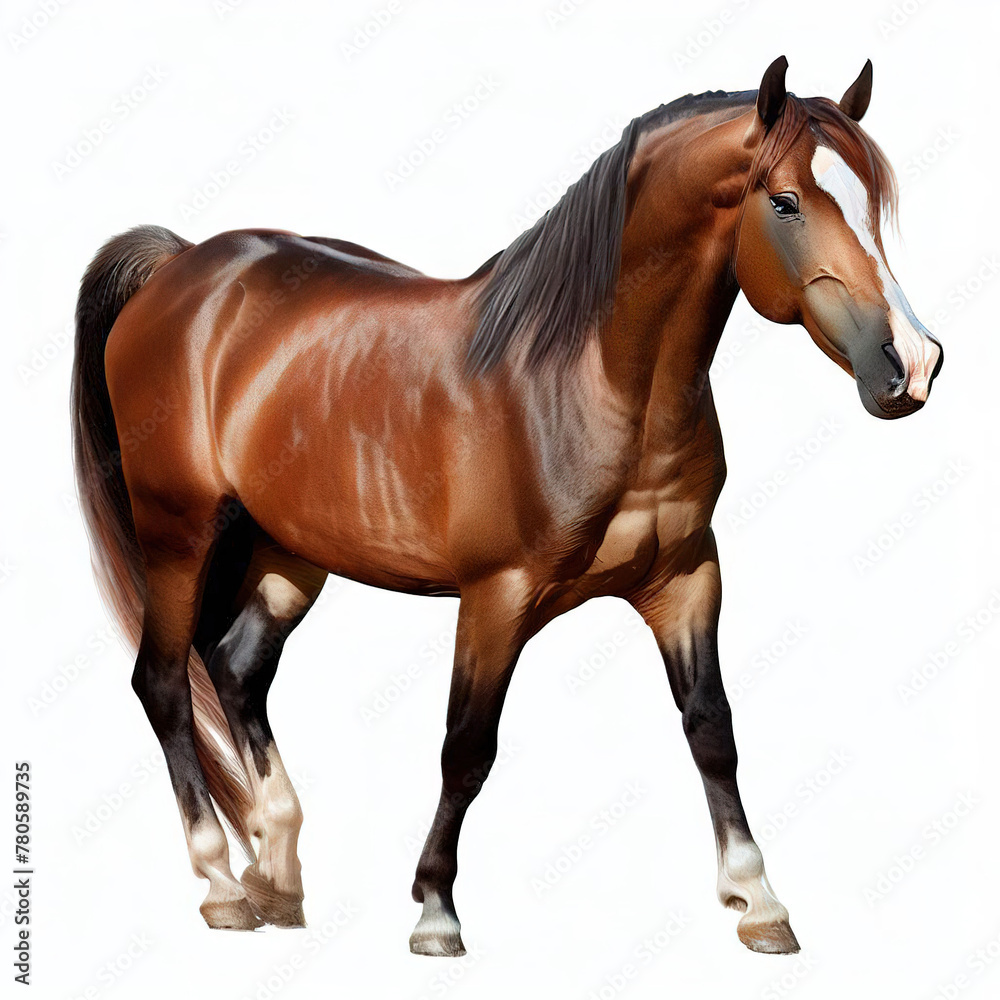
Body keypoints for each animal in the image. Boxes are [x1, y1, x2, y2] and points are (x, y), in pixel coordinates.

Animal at [71, 56, 942, 956]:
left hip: (291, 552)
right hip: (179, 536)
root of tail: (184, 266)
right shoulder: (496, 596)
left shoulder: (686, 576)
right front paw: (434, 909)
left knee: (238, 670)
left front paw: (758, 899)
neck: (587, 380)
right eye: (786, 200)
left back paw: (276, 877)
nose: (912, 364)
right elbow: (467, 748)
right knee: (164, 683)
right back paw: (220, 885)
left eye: (875, 202)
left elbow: (712, 729)